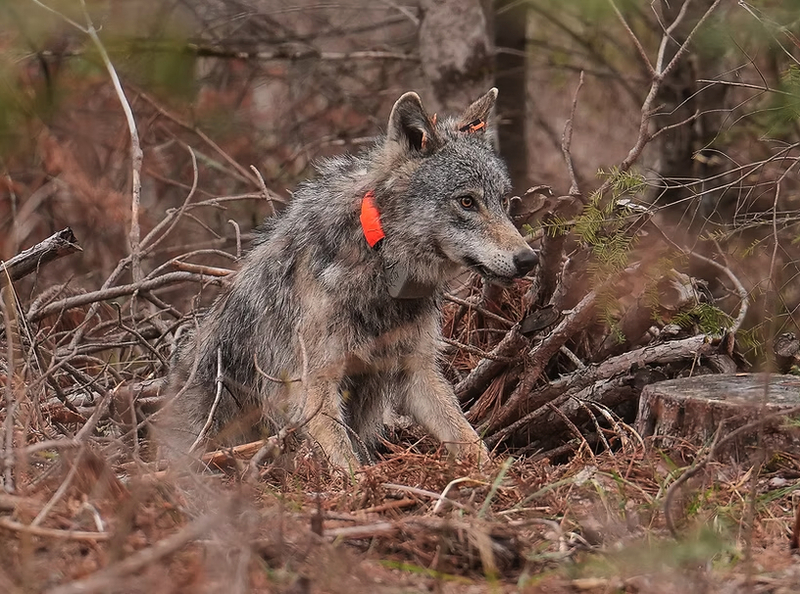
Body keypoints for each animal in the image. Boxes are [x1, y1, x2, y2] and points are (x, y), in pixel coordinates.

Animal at [162, 88, 538, 470]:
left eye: (503, 201)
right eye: (466, 201)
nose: (529, 260)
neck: (381, 263)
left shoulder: (418, 371)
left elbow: (467, 437)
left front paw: (498, 478)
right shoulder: (315, 384)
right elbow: (346, 463)